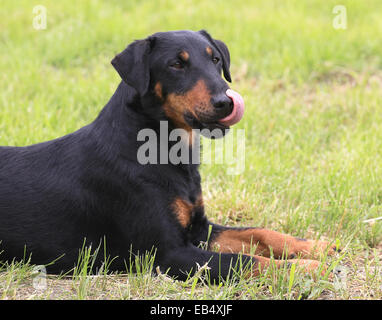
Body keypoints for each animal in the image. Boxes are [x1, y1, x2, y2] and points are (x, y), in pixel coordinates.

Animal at [0, 30, 336, 280]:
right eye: (176, 64)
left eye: (215, 59)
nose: (226, 102)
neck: (165, 150)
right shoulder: (167, 255)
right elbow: (245, 261)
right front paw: (306, 269)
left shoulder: (199, 228)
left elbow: (260, 233)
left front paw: (317, 247)